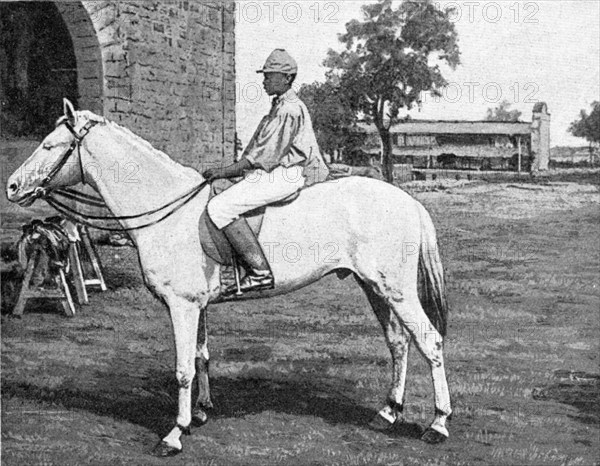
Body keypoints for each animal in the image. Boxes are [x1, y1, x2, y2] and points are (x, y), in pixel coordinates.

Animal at [7, 101, 452, 456]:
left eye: (50, 145)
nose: (12, 186)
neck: (168, 211)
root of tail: (408, 201)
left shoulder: (182, 306)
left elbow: (183, 368)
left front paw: (174, 434)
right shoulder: (197, 306)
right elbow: (201, 356)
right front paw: (201, 413)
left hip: (395, 290)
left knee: (429, 342)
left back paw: (437, 424)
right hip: (375, 287)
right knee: (398, 342)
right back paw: (388, 413)